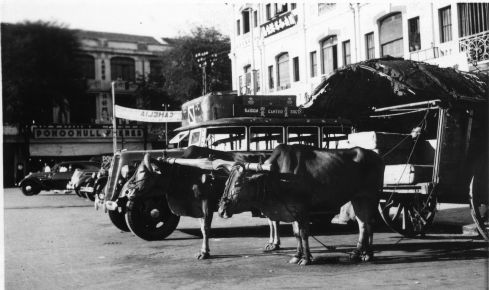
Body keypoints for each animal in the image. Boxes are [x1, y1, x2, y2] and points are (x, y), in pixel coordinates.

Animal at [130, 146, 280, 260]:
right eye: (136, 170)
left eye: (143, 171)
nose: (129, 191)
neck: (188, 174)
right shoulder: (198, 209)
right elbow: (202, 229)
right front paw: (203, 251)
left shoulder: (206, 206)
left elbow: (206, 229)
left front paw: (205, 252)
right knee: (272, 220)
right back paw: (273, 244)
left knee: (274, 220)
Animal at [218, 144, 386, 266]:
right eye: (225, 183)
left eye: (238, 184)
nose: (221, 210)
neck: (277, 176)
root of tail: (376, 155)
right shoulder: (292, 210)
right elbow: (296, 234)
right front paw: (296, 256)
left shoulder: (303, 209)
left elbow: (304, 233)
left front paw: (306, 258)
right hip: (358, 198)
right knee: (363, 224)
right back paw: (360, 254)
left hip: (372, 196)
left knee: (369, 223)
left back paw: (367, 254)